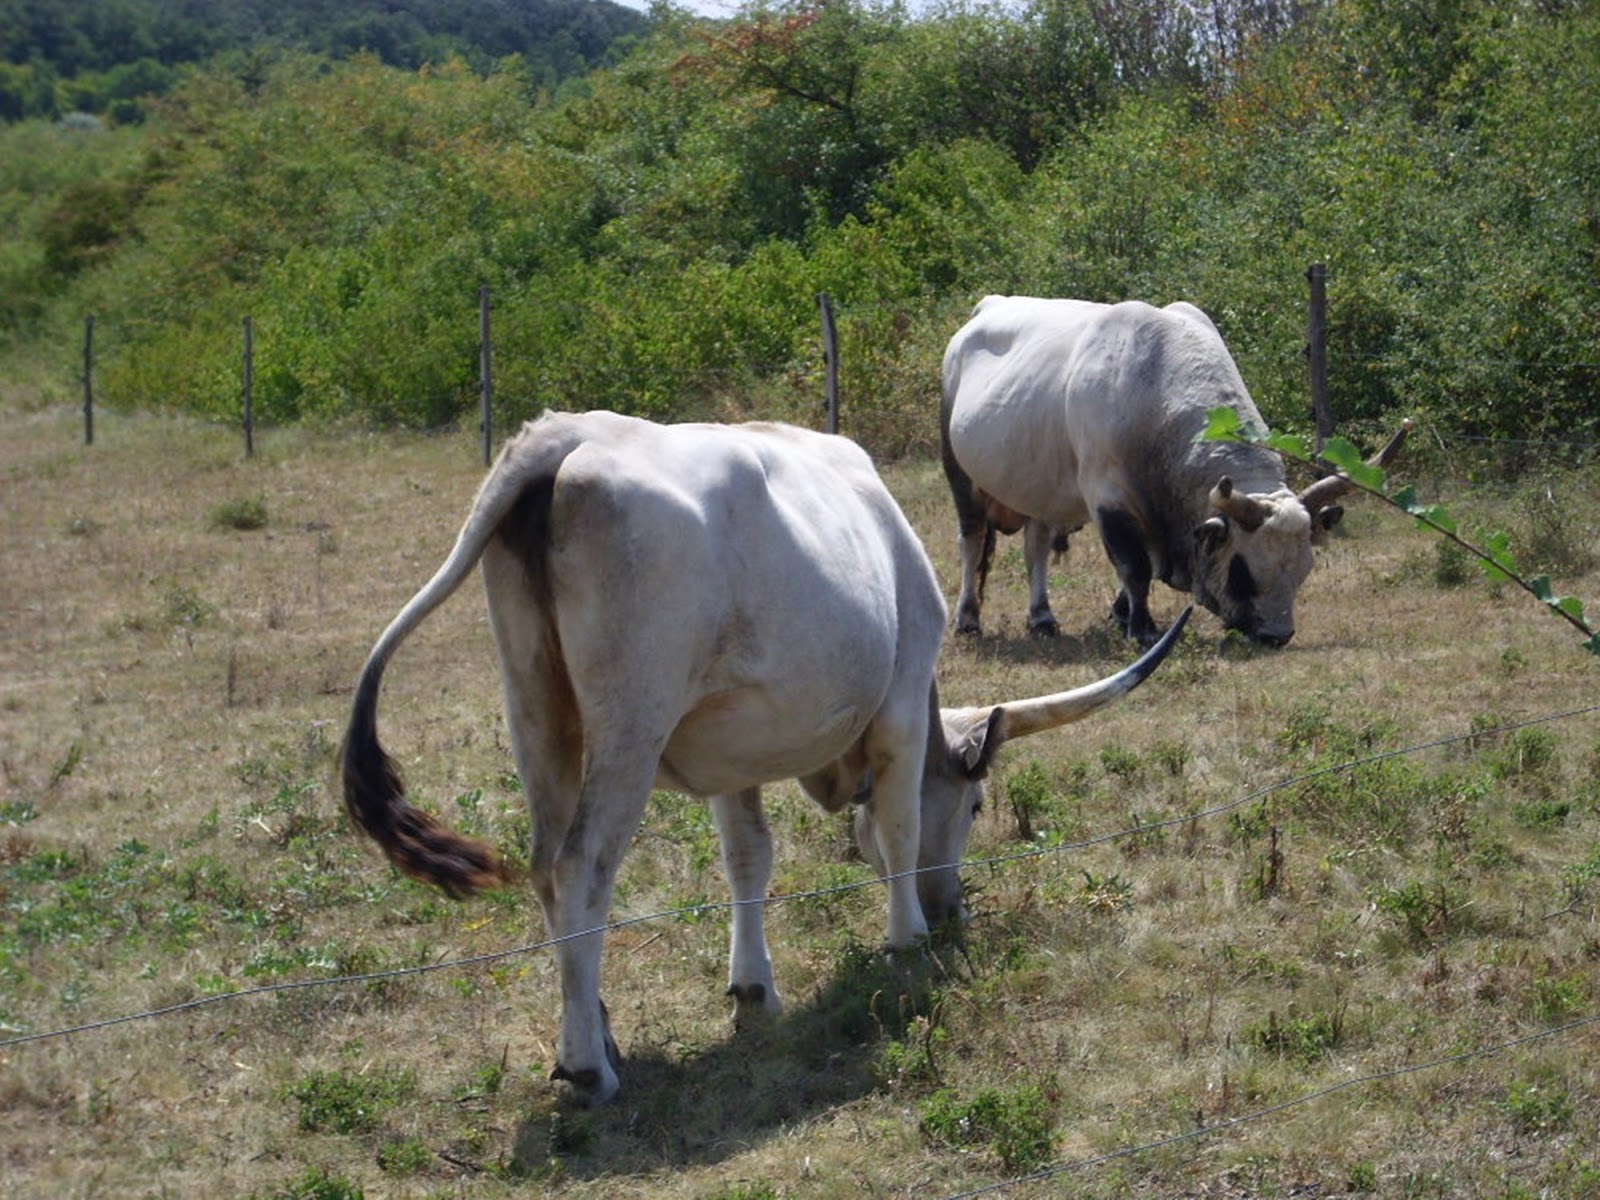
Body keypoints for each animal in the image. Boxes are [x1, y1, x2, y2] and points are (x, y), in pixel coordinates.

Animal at [342, 409, 1187, 1106]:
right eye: (977, 805)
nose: (951, 908)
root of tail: (563, 435)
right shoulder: (901, 701)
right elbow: (899, 827)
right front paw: (907, 937)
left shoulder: (729, 756)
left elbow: (749, 857)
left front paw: (755, 988)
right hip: (630, 726)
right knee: (581, 868)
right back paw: (588, 1067)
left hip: (539, 713)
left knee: (547, 868)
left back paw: (595, 1031)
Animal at [941, 296, 1409, 647]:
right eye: (1241, 571)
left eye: (1304, 569)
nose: (1276, 635)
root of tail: (985, 308)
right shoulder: (1110, 499)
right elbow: (1134, 567)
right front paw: (1142, 629)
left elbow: (1143, 566)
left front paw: (1121, 616)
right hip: (960, 474)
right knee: (973, 541)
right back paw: (968, 619)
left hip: (1037, 486)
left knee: (1035, 546)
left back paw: (1042, 619)